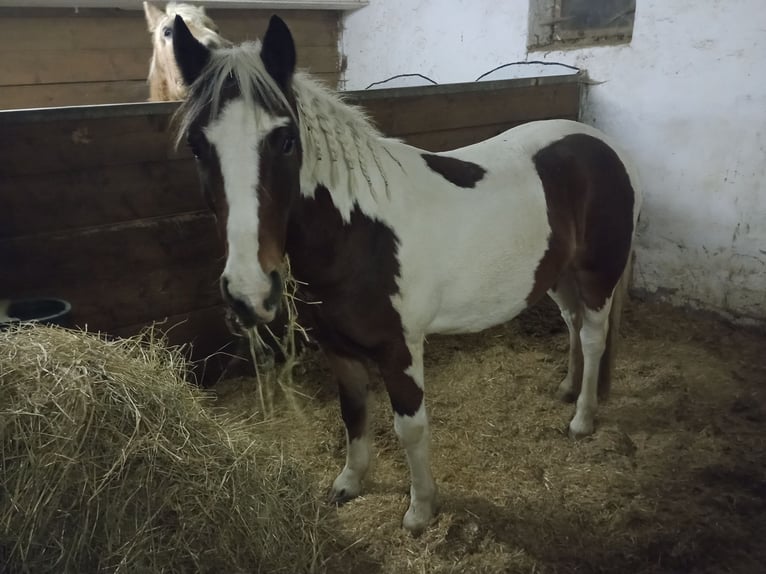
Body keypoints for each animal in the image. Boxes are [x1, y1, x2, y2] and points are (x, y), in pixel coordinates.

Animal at [172, 14, 640, 536]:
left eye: (286, 139)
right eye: (197, 146)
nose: (249, 292)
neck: (359, 231)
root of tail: (601, 145)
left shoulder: (399, 348)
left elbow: (410, 428)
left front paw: (420, 510)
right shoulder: (337, 347)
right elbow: (352, 411)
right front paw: (349, 482)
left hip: (597, 275)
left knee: (594, 337)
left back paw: (582, 418)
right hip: (558, 277)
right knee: (573, 327)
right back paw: (568, 390)